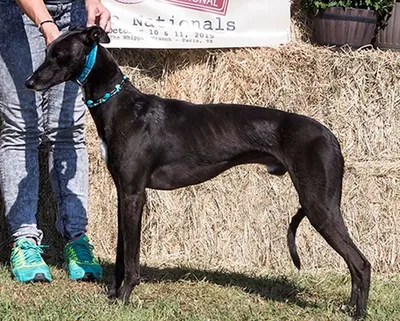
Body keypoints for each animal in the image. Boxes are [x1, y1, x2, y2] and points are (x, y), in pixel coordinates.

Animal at [25, 26, 372, 318]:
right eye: (48, 50)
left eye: (59, 54)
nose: (30, 82)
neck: (121, 106)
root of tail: (330, 136)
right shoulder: (124, 192)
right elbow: (123, 250)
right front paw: (113, 293)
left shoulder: (135, 194)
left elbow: (133, 257)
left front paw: (125, 296)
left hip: (319, 206)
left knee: (361, 263)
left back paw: (358, 312)